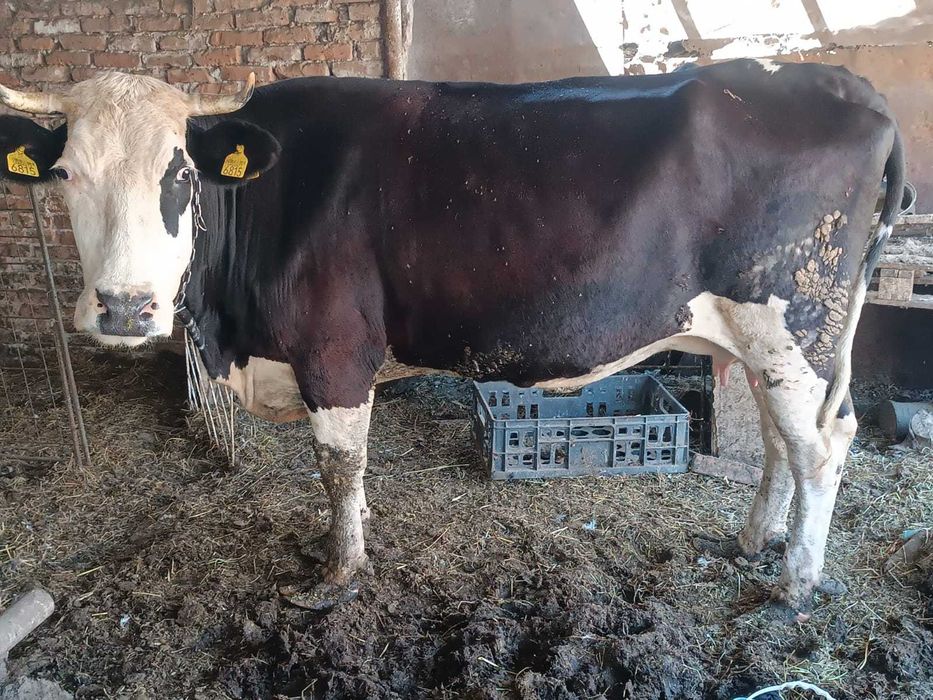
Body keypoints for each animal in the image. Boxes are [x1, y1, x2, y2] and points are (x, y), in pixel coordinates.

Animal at [0, 58, 904, 620]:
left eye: (180, 174)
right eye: (67, 173)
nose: (125, 308)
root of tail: (840, 82)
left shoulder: (334, 352)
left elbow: (337, 465)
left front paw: (339, 571)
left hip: (794, 327)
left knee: (820, 447)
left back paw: (793, 585)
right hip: (768, 342)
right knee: (785, 443)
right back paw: (752, 541)